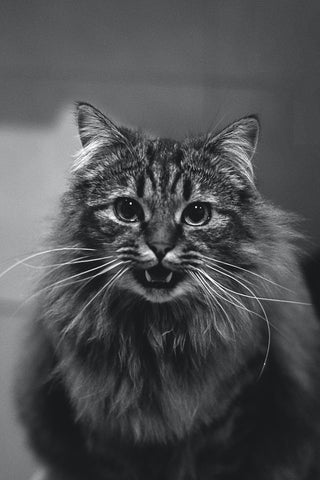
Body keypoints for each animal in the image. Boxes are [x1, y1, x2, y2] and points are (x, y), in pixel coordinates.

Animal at [15, 100, 320, 476]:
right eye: (128, 209)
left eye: (197, 214)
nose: (160, 247)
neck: (155, 337)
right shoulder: (106, 432)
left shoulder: (230, 423)